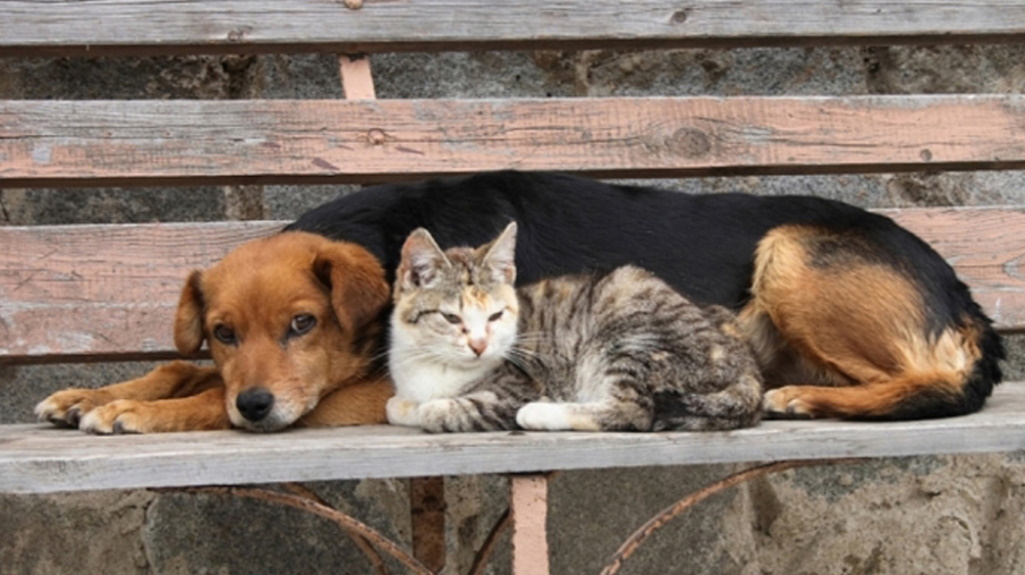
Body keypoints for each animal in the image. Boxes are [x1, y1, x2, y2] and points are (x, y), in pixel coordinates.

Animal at [35, 230, 391, 432]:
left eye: (302, 322)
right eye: (223, 333)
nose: (252, 405)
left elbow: (216, 397)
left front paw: (134, 409)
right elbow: (182, 370)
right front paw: (85, 396)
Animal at [387, 222, 766, 432]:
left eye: (496, 316)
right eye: (451, 318)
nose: (480, 345)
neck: (434, 366)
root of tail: (747, 368)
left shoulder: (518, 386)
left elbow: (439, 410)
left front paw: (429, 408)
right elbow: (395, 406)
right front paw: (406, 405)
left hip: (633, 336)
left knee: (632, 410)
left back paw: (540, 414)